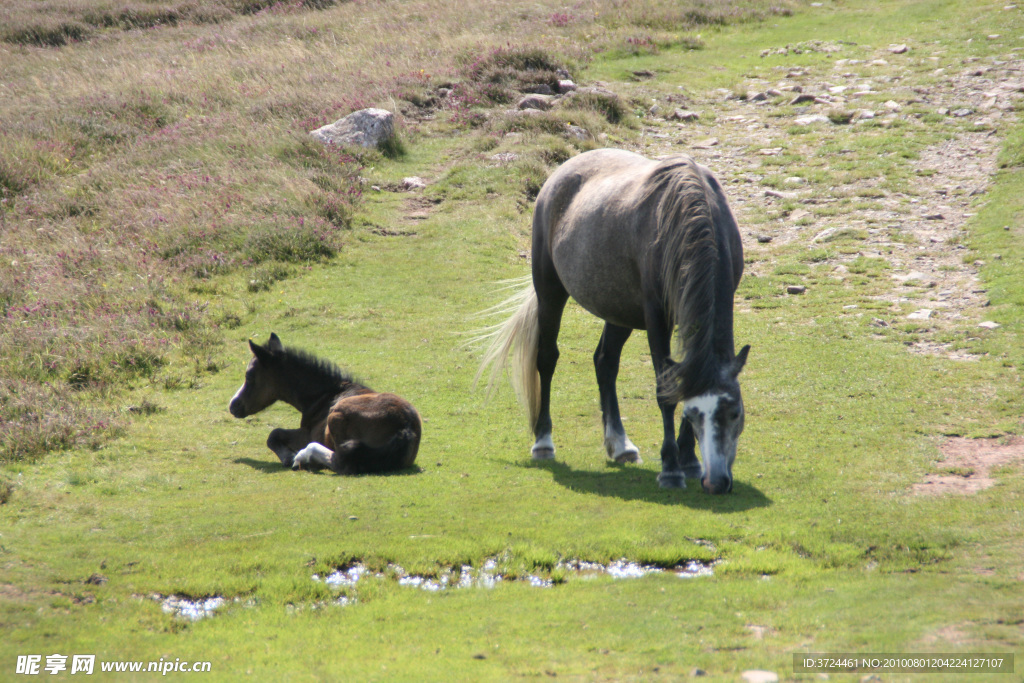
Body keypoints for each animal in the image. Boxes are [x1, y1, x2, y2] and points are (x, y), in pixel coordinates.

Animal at [230, 331, 421, 475]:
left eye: (249, 376)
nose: (233, 406)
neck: (325, 396)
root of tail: (405, 427)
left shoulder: (308, 433)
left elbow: (273, 435)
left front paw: (289, 457)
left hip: (336, 416)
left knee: (341, 463)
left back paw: (304, 457)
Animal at [475, 148, 749, 491]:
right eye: (696, 415)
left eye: (735, 412)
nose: (716, 482)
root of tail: (557, 176)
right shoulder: (657, 317)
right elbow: (665, 392)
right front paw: (671, 469)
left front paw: (688, 461)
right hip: (550, 292)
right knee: (547, 358)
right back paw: (543, 442)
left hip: (618, 311)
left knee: (605, 362)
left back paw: (620, 445)